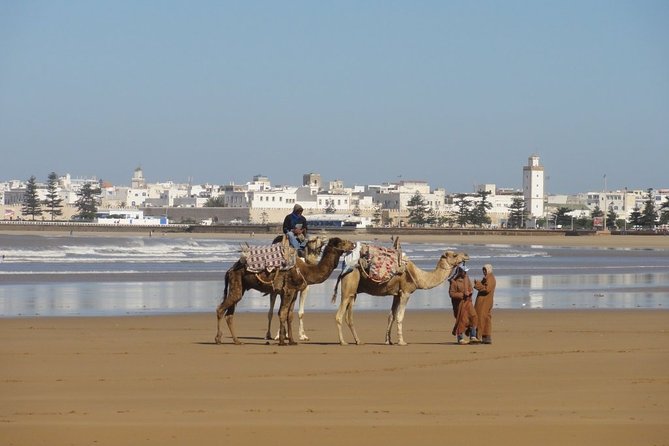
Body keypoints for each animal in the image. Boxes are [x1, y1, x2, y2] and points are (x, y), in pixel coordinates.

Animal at [217, 237, 358, 344]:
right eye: (343, 242)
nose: (354, 244)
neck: (305, 271)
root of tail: (230, 270)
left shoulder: (294, 292)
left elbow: (289, 315)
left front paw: (292, 341)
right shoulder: (289, 290)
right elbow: (283, 313)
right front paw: (282, 341)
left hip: (240, 287)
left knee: (229, 314)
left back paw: (237, 341)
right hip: (236, 284)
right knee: (220, 309)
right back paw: (218, 338)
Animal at [332, 249, 468, 346]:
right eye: (455, 255)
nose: (466, 255)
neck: (419, 276)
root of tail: (344, 267)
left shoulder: (396, 294)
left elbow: (391, 316)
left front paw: (388, 341)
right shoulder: (405, 292)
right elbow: (400, 316)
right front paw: (401, 341)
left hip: (353, 292)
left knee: (349, 317)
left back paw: (358, 341)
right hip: (349, 284)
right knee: (339, 315)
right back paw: (343, 342)